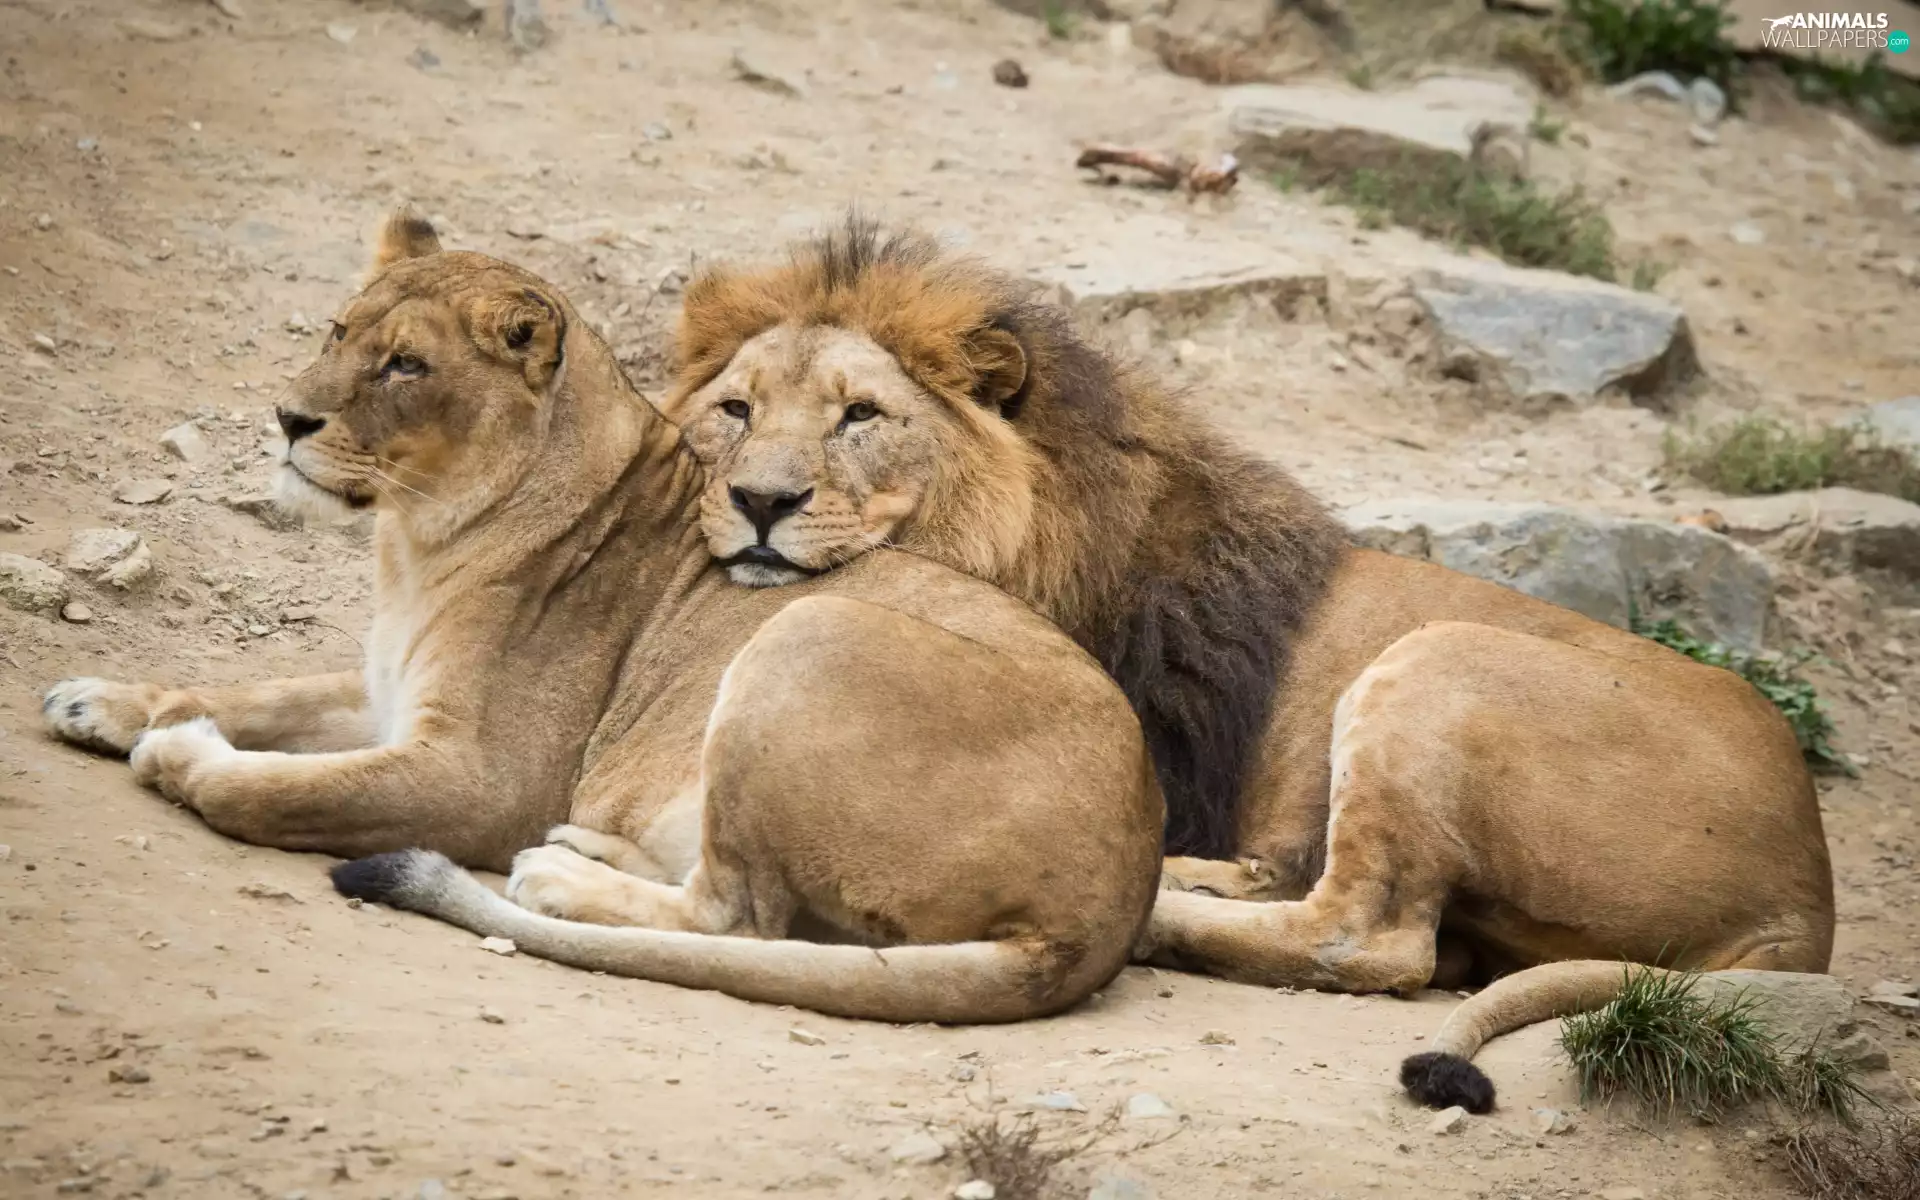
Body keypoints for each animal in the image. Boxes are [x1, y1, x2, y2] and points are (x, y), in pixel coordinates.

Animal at [39, 209, 1165, 1024]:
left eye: (407, 366)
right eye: (337, 332)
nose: (287, 419)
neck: (419, 542)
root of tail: (1106, 911)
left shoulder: (482, 778)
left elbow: (284, 793)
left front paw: (185, 756)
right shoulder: (386, 693)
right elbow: (259, 691)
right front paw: (101, 700)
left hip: (803, 636)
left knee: (744, 919)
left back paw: (559, 881)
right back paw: (587, 850)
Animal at [656, 217, 1835, 1111]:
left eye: (862, 415)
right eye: (735, 408)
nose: (762, 502)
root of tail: (1809, 898)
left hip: (1438, 660)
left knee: (1373, 940)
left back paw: (1167, 913)